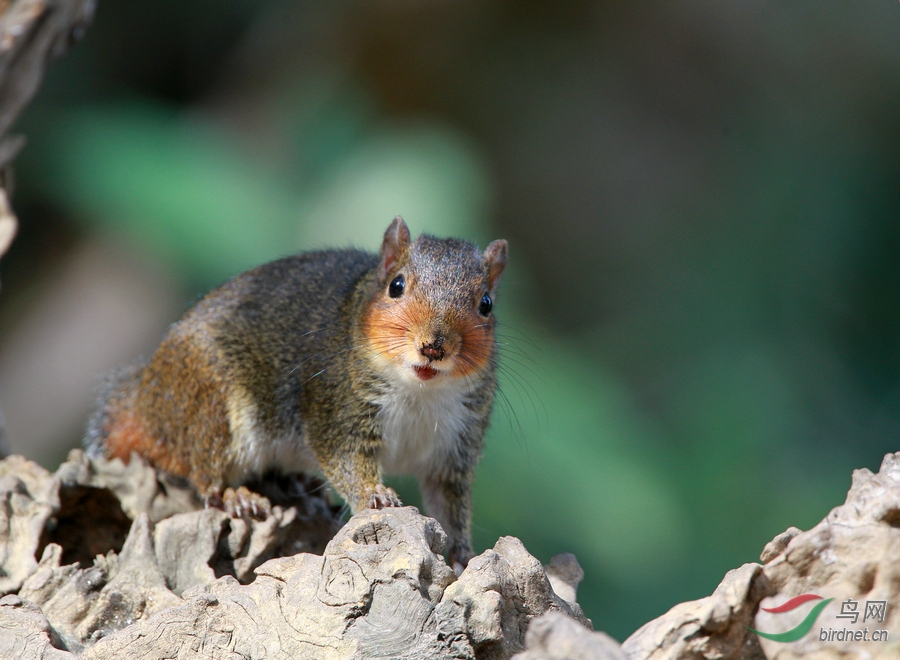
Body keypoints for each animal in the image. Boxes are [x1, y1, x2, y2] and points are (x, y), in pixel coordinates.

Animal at [88, 218, 510, 572]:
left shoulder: (456, 446)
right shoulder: (336, 409)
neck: (420, 392)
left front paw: (462, 552)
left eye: (486, 304)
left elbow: (449, 503)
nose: (434, 347)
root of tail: (148, 399)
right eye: (396, 285)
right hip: (213, 408)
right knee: (204, 472)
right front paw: (373, 495)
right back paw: (235, 495)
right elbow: (343, 456)